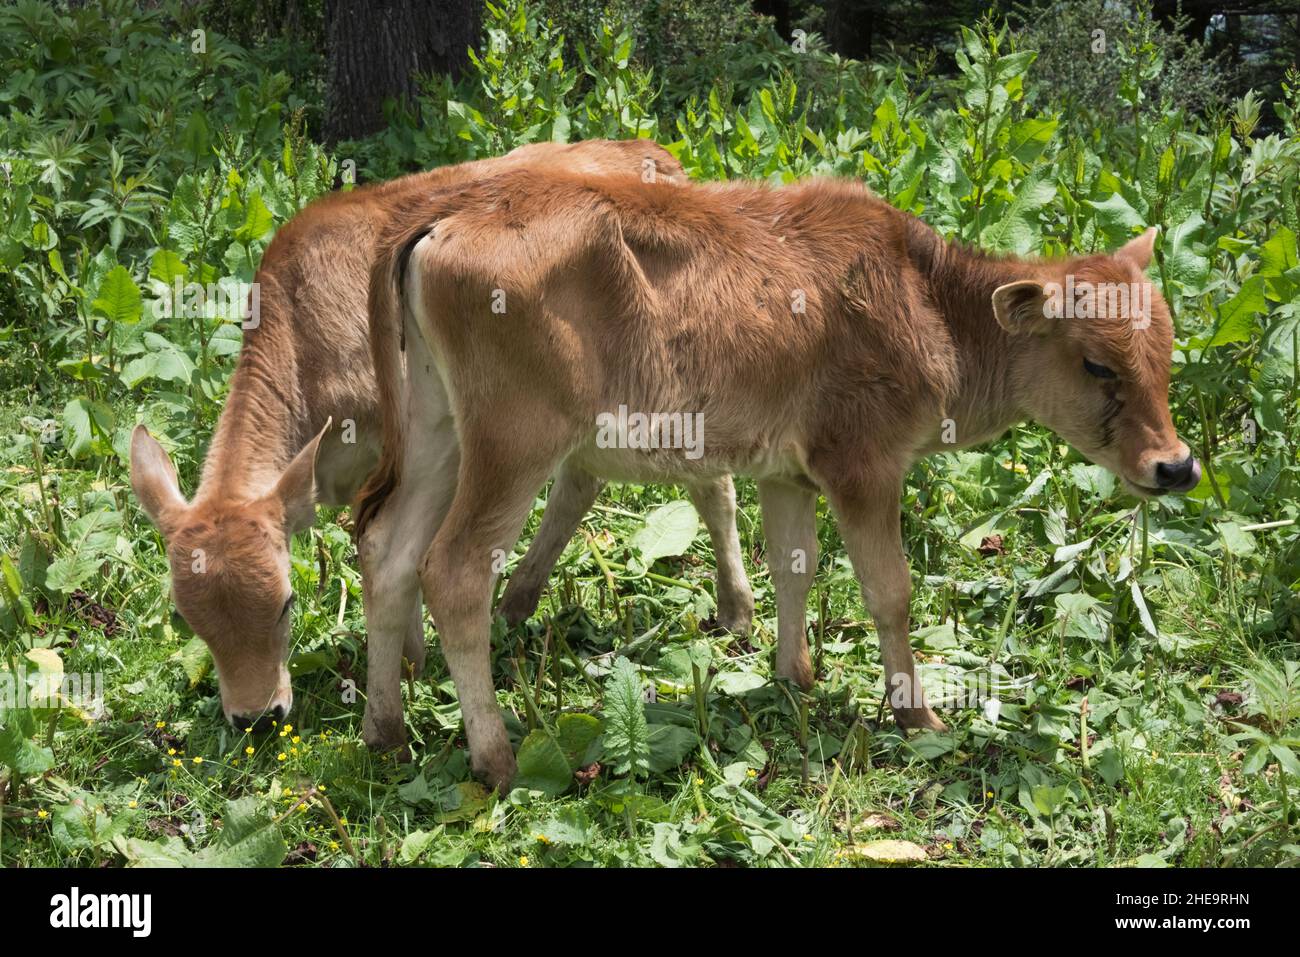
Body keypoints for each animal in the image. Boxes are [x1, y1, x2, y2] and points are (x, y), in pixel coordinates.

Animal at [128, 140, 759, 738]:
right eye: (186, 618)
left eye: (286, 603)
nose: (257, 717)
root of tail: (650, 153)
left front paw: (410, 662)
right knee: (580, 484)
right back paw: (516, 603)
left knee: (711, 486)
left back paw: (734, 609)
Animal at [353, 166, 1196, 790]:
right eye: (1098, 363)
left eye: (1165, 352)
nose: (1177, 464)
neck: (927, 301)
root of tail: (448, 211)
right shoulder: (863, 460)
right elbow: (889, 590)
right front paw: (915, 714)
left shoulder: (790, 472)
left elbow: (796, 566)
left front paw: (796, 675)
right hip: (514, 442)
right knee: (453, 568)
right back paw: (494, 757)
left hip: (437, 431)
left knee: (387, 550)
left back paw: (386, 729)